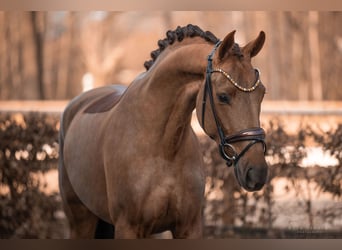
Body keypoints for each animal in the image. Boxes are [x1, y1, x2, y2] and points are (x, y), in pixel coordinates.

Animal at [58, 24, 268, 239]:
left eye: (262, 93)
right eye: (223, 96)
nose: (257, 172)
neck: (164, 148)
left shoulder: (189, 227)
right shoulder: (128, 228)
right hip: (80, 221)